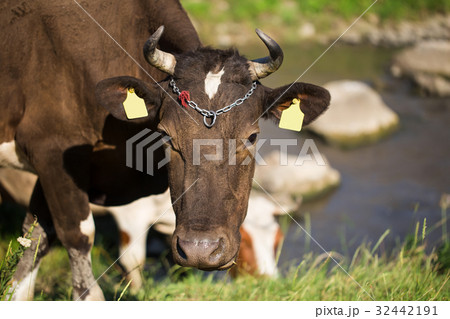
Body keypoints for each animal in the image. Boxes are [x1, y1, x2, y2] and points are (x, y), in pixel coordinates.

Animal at [0, 0, 330, 300]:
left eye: (251, 137)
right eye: (167, 136)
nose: (201, 250)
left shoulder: (53, 166)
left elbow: (35, 237)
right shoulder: (53, 150)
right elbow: (80, 242)